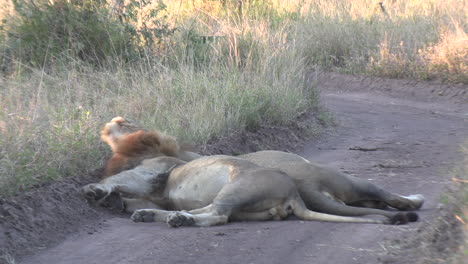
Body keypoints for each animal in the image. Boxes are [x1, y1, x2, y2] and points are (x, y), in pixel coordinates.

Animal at [82, 117, 426, 227]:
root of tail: (298, 193)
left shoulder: (152, 173)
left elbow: (118, 181)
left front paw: (97, 191)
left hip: (237, 188)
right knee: (216, 214)